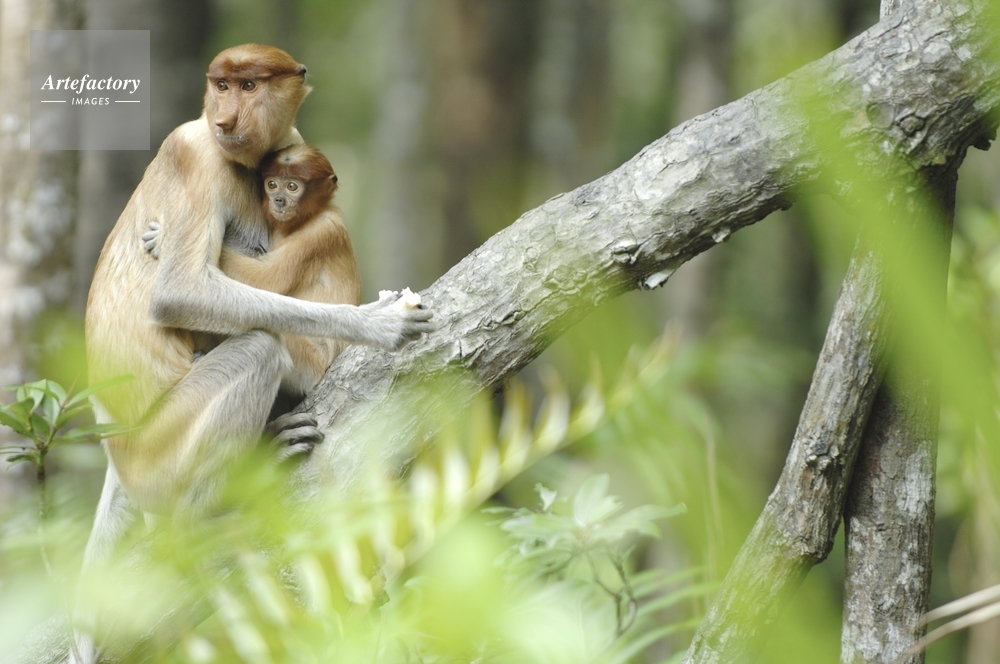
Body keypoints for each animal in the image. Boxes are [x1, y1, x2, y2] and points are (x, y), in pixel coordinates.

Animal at [72, 44, 433, 664]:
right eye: (220, 86)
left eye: (248, 86)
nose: (225, 120)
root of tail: (118, 449)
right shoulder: (198, 155)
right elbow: (180, 293)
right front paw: (379, 323)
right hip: (158, 451)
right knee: (259, 349)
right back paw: (206, 519)